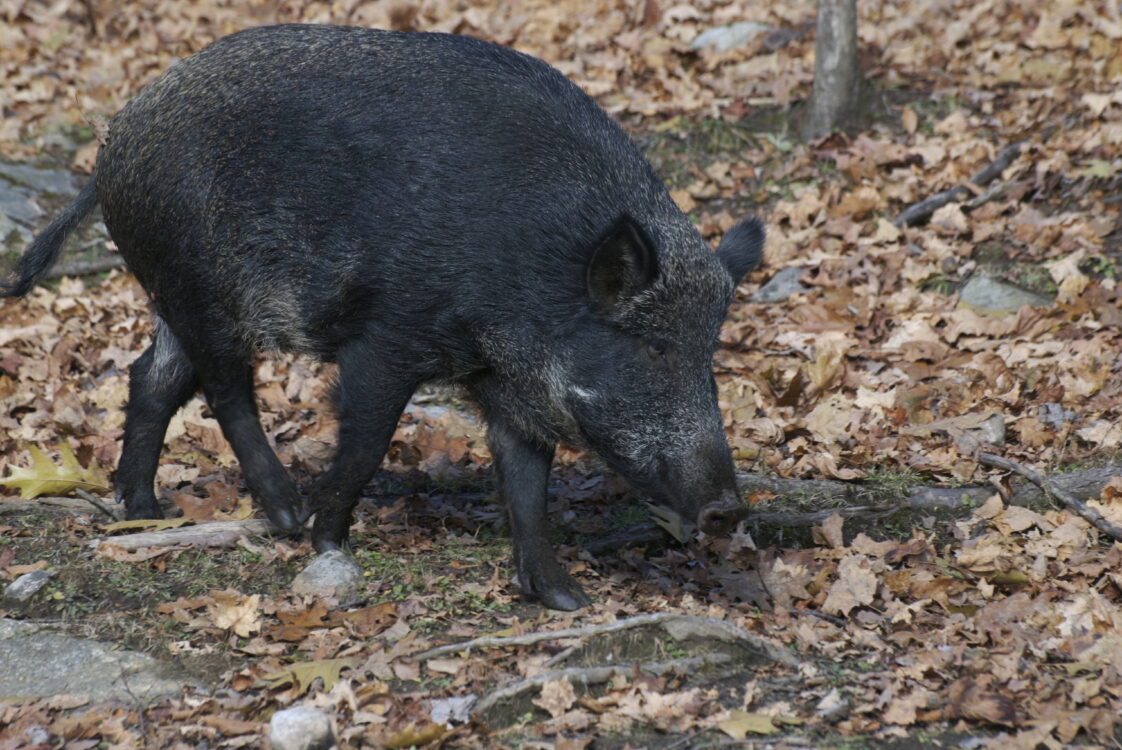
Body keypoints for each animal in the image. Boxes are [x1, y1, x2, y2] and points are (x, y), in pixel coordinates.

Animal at [1, 24, 764, 610]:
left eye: (710, 353)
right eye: (652, 347)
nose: (727, 506)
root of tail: (112, 146)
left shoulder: (510, 386)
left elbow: (527, 486)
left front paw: (564, 599)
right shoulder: (386, 340)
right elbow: (366, 443)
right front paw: (329, 540)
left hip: (174, 297)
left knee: (150, 378)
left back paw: (141, 511)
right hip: (203, 291)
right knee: (224, 389)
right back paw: (285, 512)